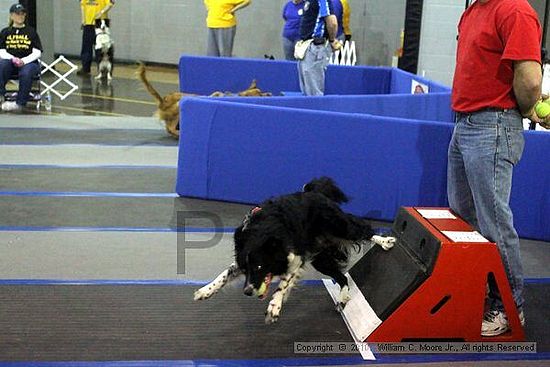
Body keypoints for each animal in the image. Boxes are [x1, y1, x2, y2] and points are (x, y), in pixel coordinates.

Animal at [196, 178, 394, 324]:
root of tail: (314, 192)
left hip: (341, 227)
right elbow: (225, 273)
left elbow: (284, 282)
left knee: (364, 229)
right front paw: (206, 290)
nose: (248, 291)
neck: (261, 232)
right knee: (342, 278)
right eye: (246, 270)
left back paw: (386, 241)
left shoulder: (296, 257)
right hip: (320, 259)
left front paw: (274, 306)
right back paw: (342, 299)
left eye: (260, 267)